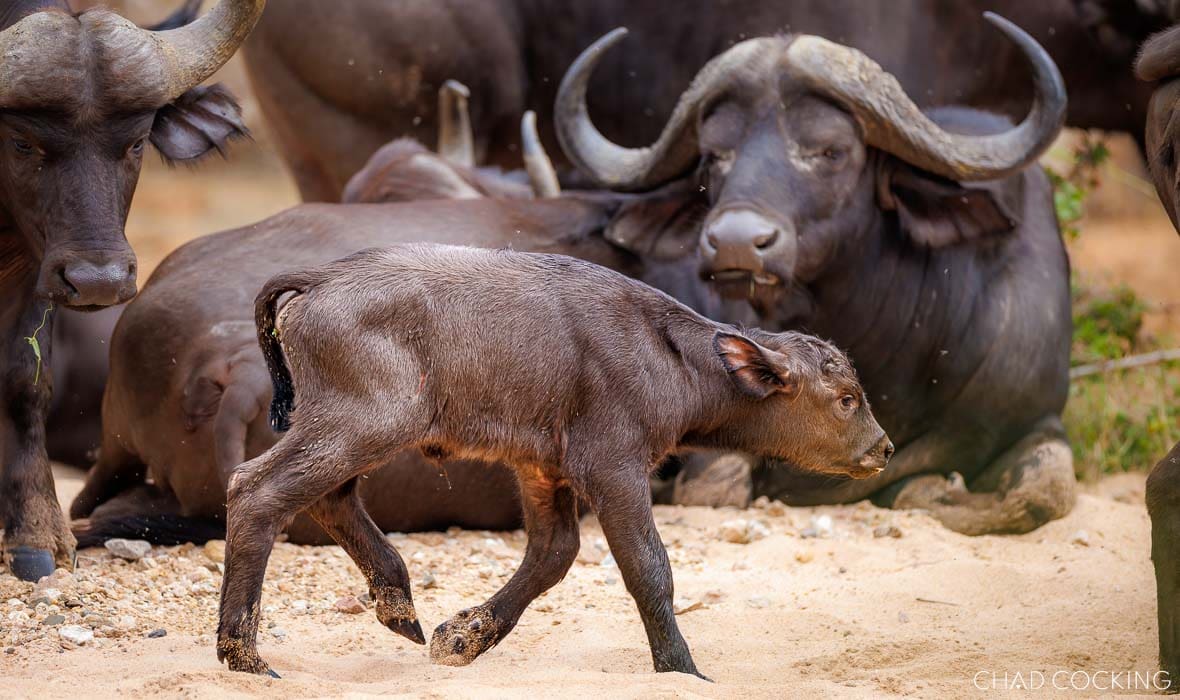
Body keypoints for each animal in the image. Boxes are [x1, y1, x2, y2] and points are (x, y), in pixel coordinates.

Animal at [0, 0, 263, 581]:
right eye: (21, 141)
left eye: (136, 142)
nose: (99, 280)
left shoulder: (33, 270)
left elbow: (24, 380)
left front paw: (35, 532)